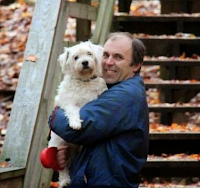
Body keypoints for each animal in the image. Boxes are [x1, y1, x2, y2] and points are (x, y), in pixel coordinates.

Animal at [48, 41, 107, 188]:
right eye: (76, 57)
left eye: (89, 53)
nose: (85, 62)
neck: (84, 81)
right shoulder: (69, 102)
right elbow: (73, 111)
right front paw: (75, 124)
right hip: (58, 145)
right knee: (63, 167)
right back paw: (64, 181)